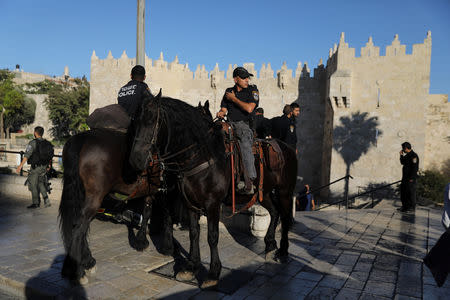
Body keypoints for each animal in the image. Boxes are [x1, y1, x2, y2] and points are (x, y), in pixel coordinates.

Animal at [128, 94, 298, 288]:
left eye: (152, 121)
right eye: (135, 121)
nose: (136, 159)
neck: (200, 156)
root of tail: (287, 148)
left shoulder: (212, 204)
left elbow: (212, 235)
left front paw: (213, 273)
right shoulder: (190, 203)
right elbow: (194, 233)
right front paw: (191, 266)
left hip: (285, 192)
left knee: (285, 217)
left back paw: (283, 251)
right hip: (264, 193)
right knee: (275, 212)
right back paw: (270, 246)